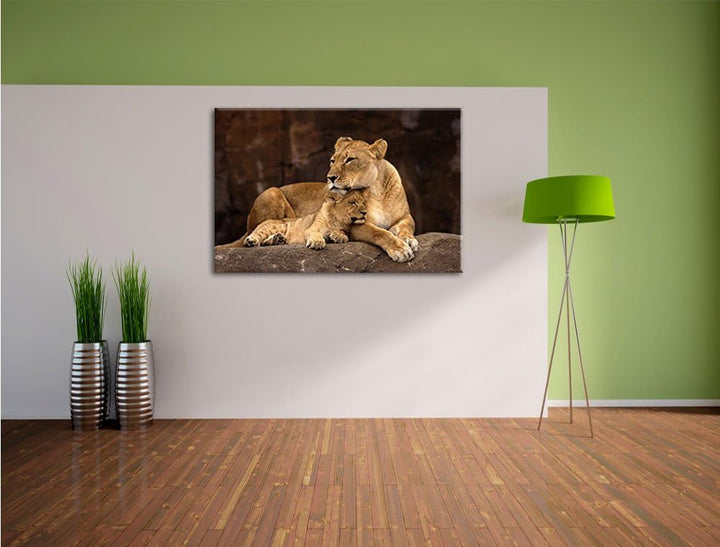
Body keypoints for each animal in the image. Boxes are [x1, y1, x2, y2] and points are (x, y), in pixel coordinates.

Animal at [217, 137, 418, 262]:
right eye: (332, 160)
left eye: (350, 159)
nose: (330, 177)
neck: (376, 191)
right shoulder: (356, 225)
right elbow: (380, 233)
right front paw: (400, 250)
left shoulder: (404, 217)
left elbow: (407, 227)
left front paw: (409, 240)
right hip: (272, 192)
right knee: (255, 235)